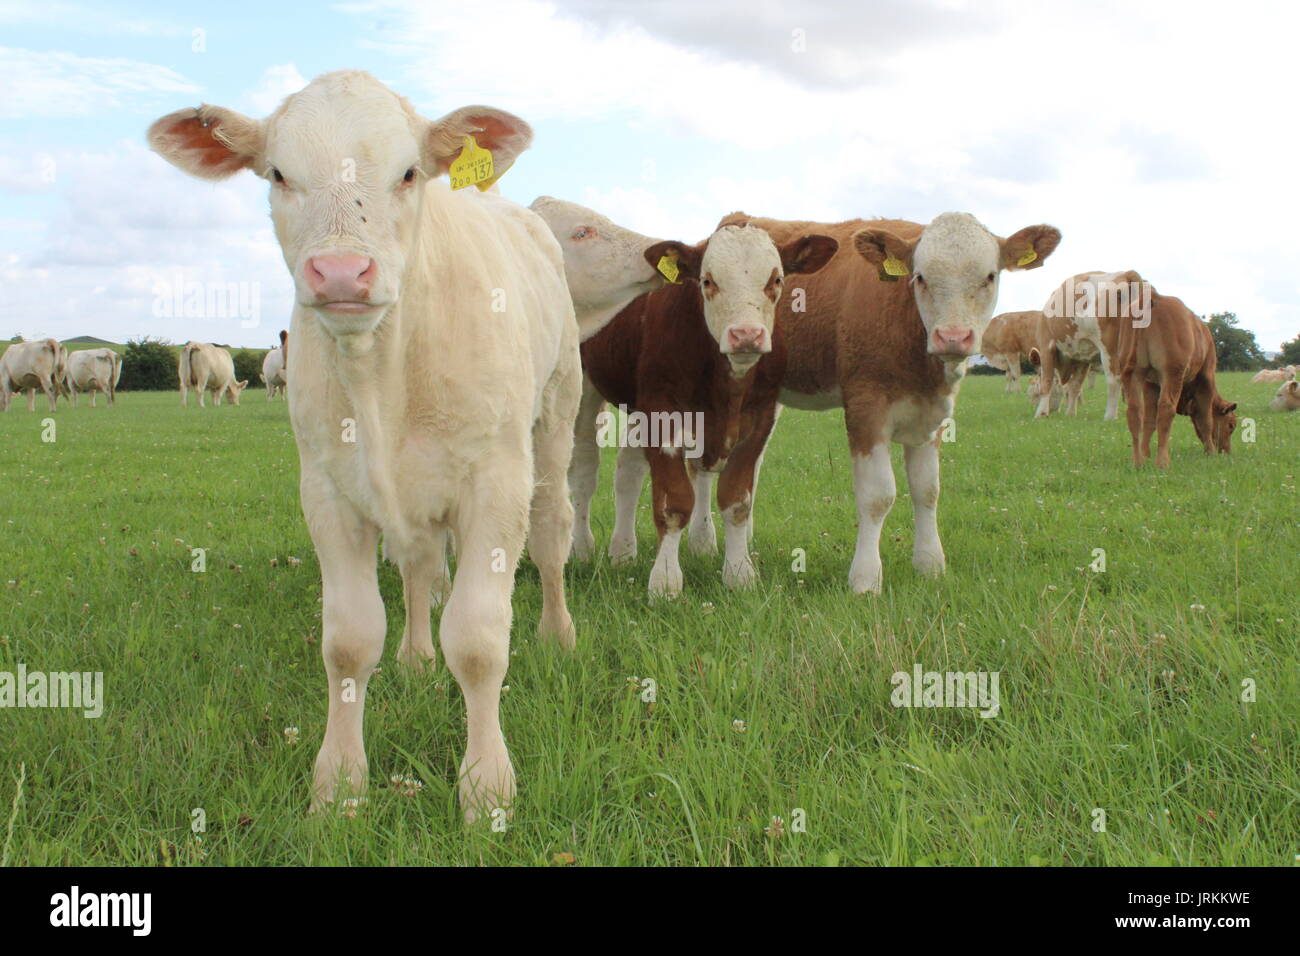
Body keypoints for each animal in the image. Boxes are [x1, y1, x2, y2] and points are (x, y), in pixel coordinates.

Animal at [148, 69, 585, 822]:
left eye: (409, 172)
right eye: (278, 173)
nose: (342, 273)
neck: (384, 373)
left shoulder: (496, 481)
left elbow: (478, 641)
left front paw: (486, 788)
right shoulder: (327, 490)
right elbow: (350, 642)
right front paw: (339, 784)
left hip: (555, 413)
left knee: (553, 527)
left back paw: (556, 634)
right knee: (418, 566)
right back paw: (415, 658)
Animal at [574, 223, 837, 598]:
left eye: (777, 280)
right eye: (707, 280)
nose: (746, 334)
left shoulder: (760, 418)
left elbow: (736, 499)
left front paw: (739, 574)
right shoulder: (663, 414)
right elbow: (673, 503)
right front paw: (665, 581)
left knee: (629, 472)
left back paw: (624, 551)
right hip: (585, 387)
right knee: (583, 470)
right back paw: (580, 548)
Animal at [634, 213, 1060, 595]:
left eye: (989, 276)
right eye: (920, 277)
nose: (953, 337)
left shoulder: (932, 415)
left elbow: (927, 490)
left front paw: (930, 565)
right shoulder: (866, 408)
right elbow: (877, 496)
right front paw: (865, 579)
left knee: (746, 468)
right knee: (702, 468)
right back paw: (703, 542)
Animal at [1029, 269, 1144, 418]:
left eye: (1037, 376)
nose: (1033, 404)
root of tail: (1125, 274)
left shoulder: (1046, 346)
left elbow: (1047, 382)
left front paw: (1041, 414)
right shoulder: (1082, 357)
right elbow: (1075, 386)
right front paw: (1070, 414)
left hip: (1109, 349)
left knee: (1114, 380)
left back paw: (1110, 416)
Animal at [1118, 270, 1237, 468]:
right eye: (1231, 425)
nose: (1226, 451)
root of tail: (1155, 298)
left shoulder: (1150, 384)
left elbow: (1149, 420)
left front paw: (1145, 453)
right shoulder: (1206, 378)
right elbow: (1206, 419)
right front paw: (1211, 453)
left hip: (1132, 372)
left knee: (1135, 410)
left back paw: (1137, 461)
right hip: (1172, 372)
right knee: (1166, 409)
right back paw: (1163, 462)